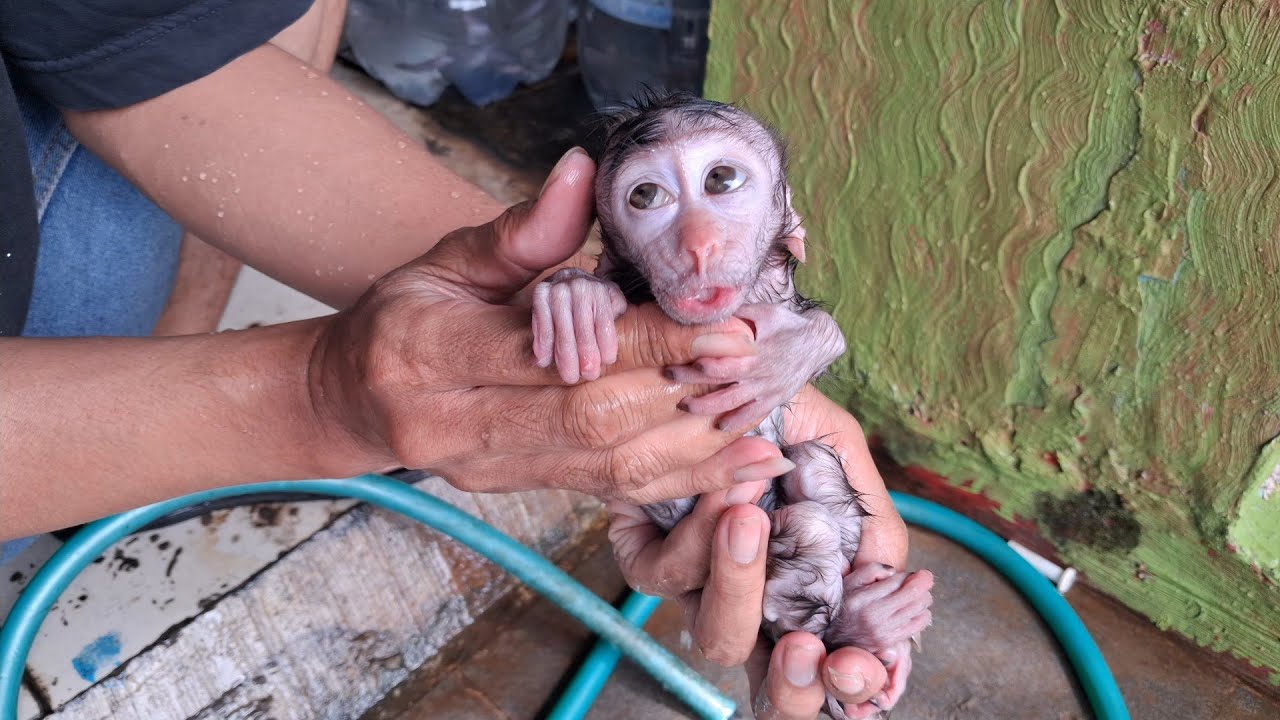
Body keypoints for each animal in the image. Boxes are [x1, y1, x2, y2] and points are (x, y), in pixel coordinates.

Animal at [530, 91, 932, 718]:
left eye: (721, 180)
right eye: (645, 196)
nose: (698, 243)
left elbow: (825, 332)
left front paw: (780, 360)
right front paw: (575, 300)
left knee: (814, 472)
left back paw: (863, 623)